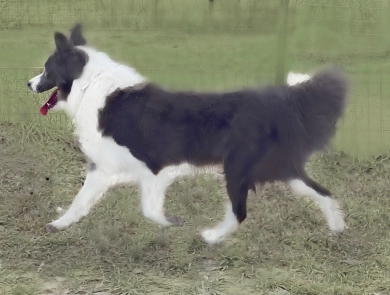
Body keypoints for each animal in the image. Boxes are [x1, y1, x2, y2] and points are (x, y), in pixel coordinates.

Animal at [27, 23, 348, 245]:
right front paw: (60, 224)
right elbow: (80, 201)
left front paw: (171, 222)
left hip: (237, 168)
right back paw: (338, 227)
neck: (91, 84)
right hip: (280, 169)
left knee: (240, 211)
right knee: (324, 192)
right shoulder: (105, 168)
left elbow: (149, 209)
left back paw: (212, 237)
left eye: (46, 69)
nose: (28, 83)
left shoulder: (154, 167)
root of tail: (281, 101)